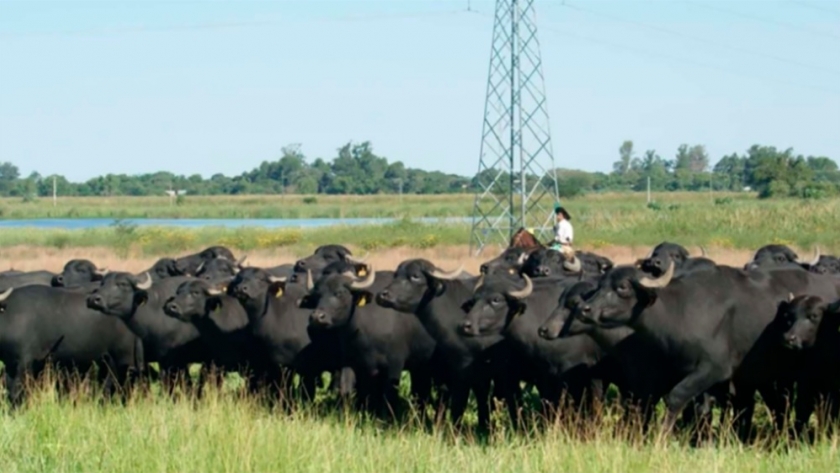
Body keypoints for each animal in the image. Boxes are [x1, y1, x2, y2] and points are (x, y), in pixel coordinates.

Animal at [376, 258, 520, 432]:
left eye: (415, 276)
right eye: (396, 275)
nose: (383, 295)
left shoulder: (472, 370)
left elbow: (460, 403)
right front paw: (483, 426)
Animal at [572, 262, 840, 438]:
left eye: (623, 288)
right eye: (600, 285)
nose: (584, 309)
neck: (680, 311)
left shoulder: (714, 370)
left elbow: (676, 397)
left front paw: (662, 437)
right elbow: (699, 409)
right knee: (779, 406)